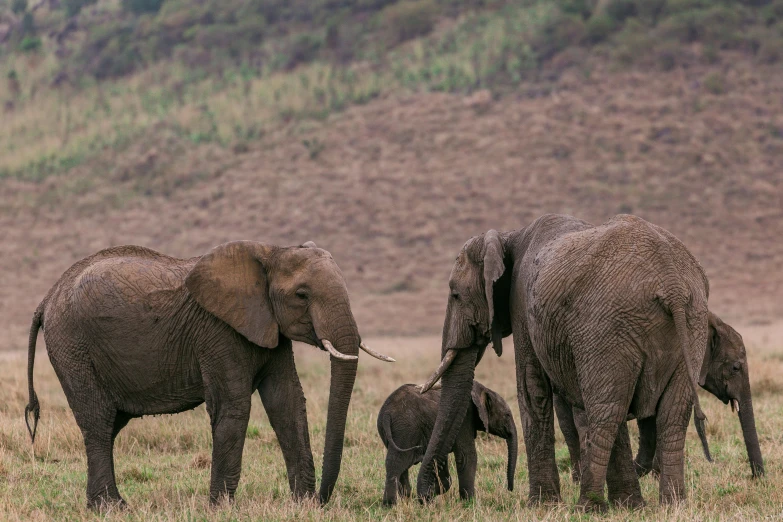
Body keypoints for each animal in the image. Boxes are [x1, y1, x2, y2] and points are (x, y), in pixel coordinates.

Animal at [22, 241, 396, 508]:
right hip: (73, 347)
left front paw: (302, 505)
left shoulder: (269, 328)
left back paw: (104, 504)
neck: (271, 253)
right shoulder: (218, 331)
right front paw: (221, 508)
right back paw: (111, 508)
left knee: (111, 423)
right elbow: (234, 407)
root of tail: (46, 298)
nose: (323, 498)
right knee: (98, 421)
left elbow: (286, 401)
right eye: (302, 295)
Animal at [376, 378, 516, 504]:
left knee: (399, 463)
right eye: (507, 415)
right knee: (398, 462)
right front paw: (469, 503)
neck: (482, 390)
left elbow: (441, 459)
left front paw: (431, 494)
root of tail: (387, 414)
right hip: (406, 429)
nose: (509, 489)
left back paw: (405, 499)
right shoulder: (464, 420)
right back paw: (390, 504)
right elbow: (467, 455)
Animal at [420, 213, 712, 510]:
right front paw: (628, 506)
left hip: (608, 326)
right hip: (692, 323)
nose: (429, 495)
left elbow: (532, 388)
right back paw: (672, 505)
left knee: (606, 412)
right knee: (670, 415)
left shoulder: (522, 305)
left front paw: (541, 505)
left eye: (455, 294)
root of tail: (672, 284)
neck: (508, 236)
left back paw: (588, 507)